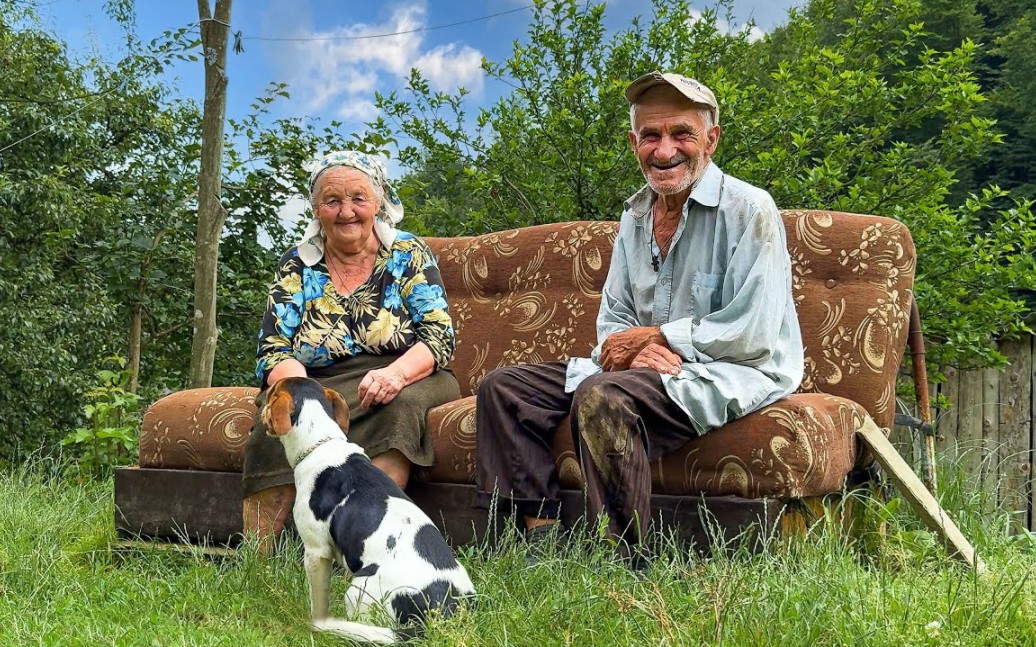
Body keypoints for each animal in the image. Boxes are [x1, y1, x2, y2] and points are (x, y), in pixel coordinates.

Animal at [261, 376, 474, 641]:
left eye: (270, 392)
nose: (259, 406)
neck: (321, 444)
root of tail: (441, 615)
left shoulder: (316, 551)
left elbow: (317, 601)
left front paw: (316, 625)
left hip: (358, 588)